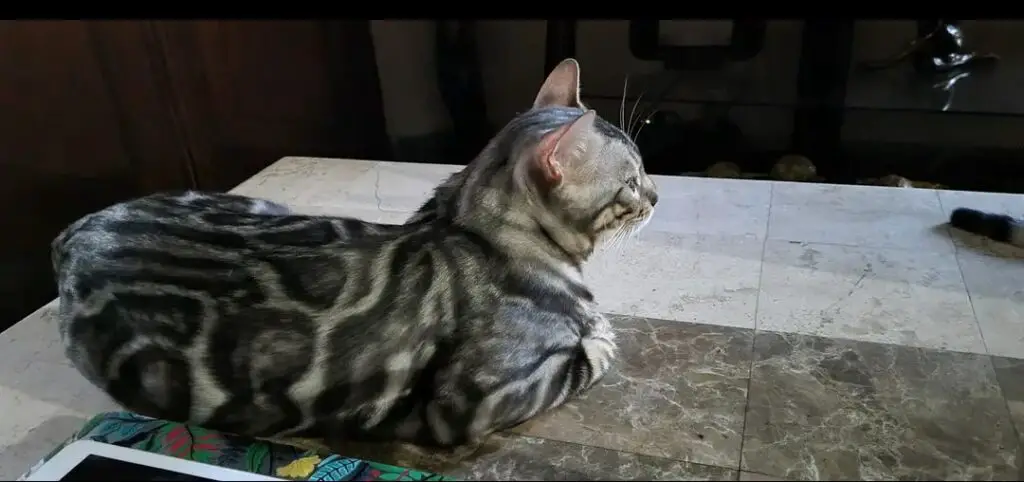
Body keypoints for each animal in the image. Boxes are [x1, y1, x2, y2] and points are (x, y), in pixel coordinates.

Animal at [49, 59, 655, 448]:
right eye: (630, 182)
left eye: (645, 169)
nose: (655, 195)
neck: (473, 226)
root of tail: (75, 234)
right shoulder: (482, 399)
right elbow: (592, 353)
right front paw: (599, 331)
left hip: (261, 202)